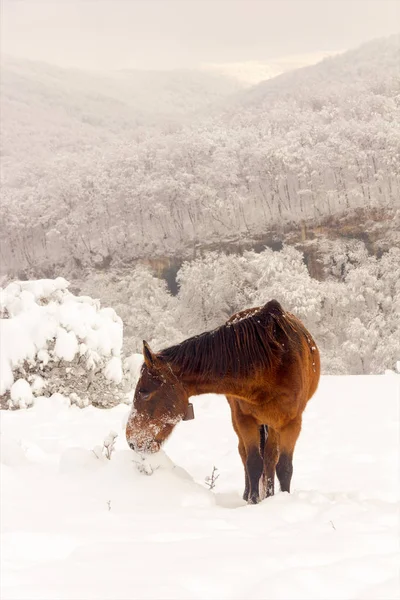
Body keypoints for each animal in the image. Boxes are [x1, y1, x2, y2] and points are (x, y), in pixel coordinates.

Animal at [126, 298, 320, 502]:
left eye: (144, 392)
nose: (131, 440)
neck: (272, 362)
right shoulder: (245, 420)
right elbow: (252, 463)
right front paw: (252, 501)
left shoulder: (291, 423)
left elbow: (284, 468)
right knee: (247, 455)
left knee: (270, 458)